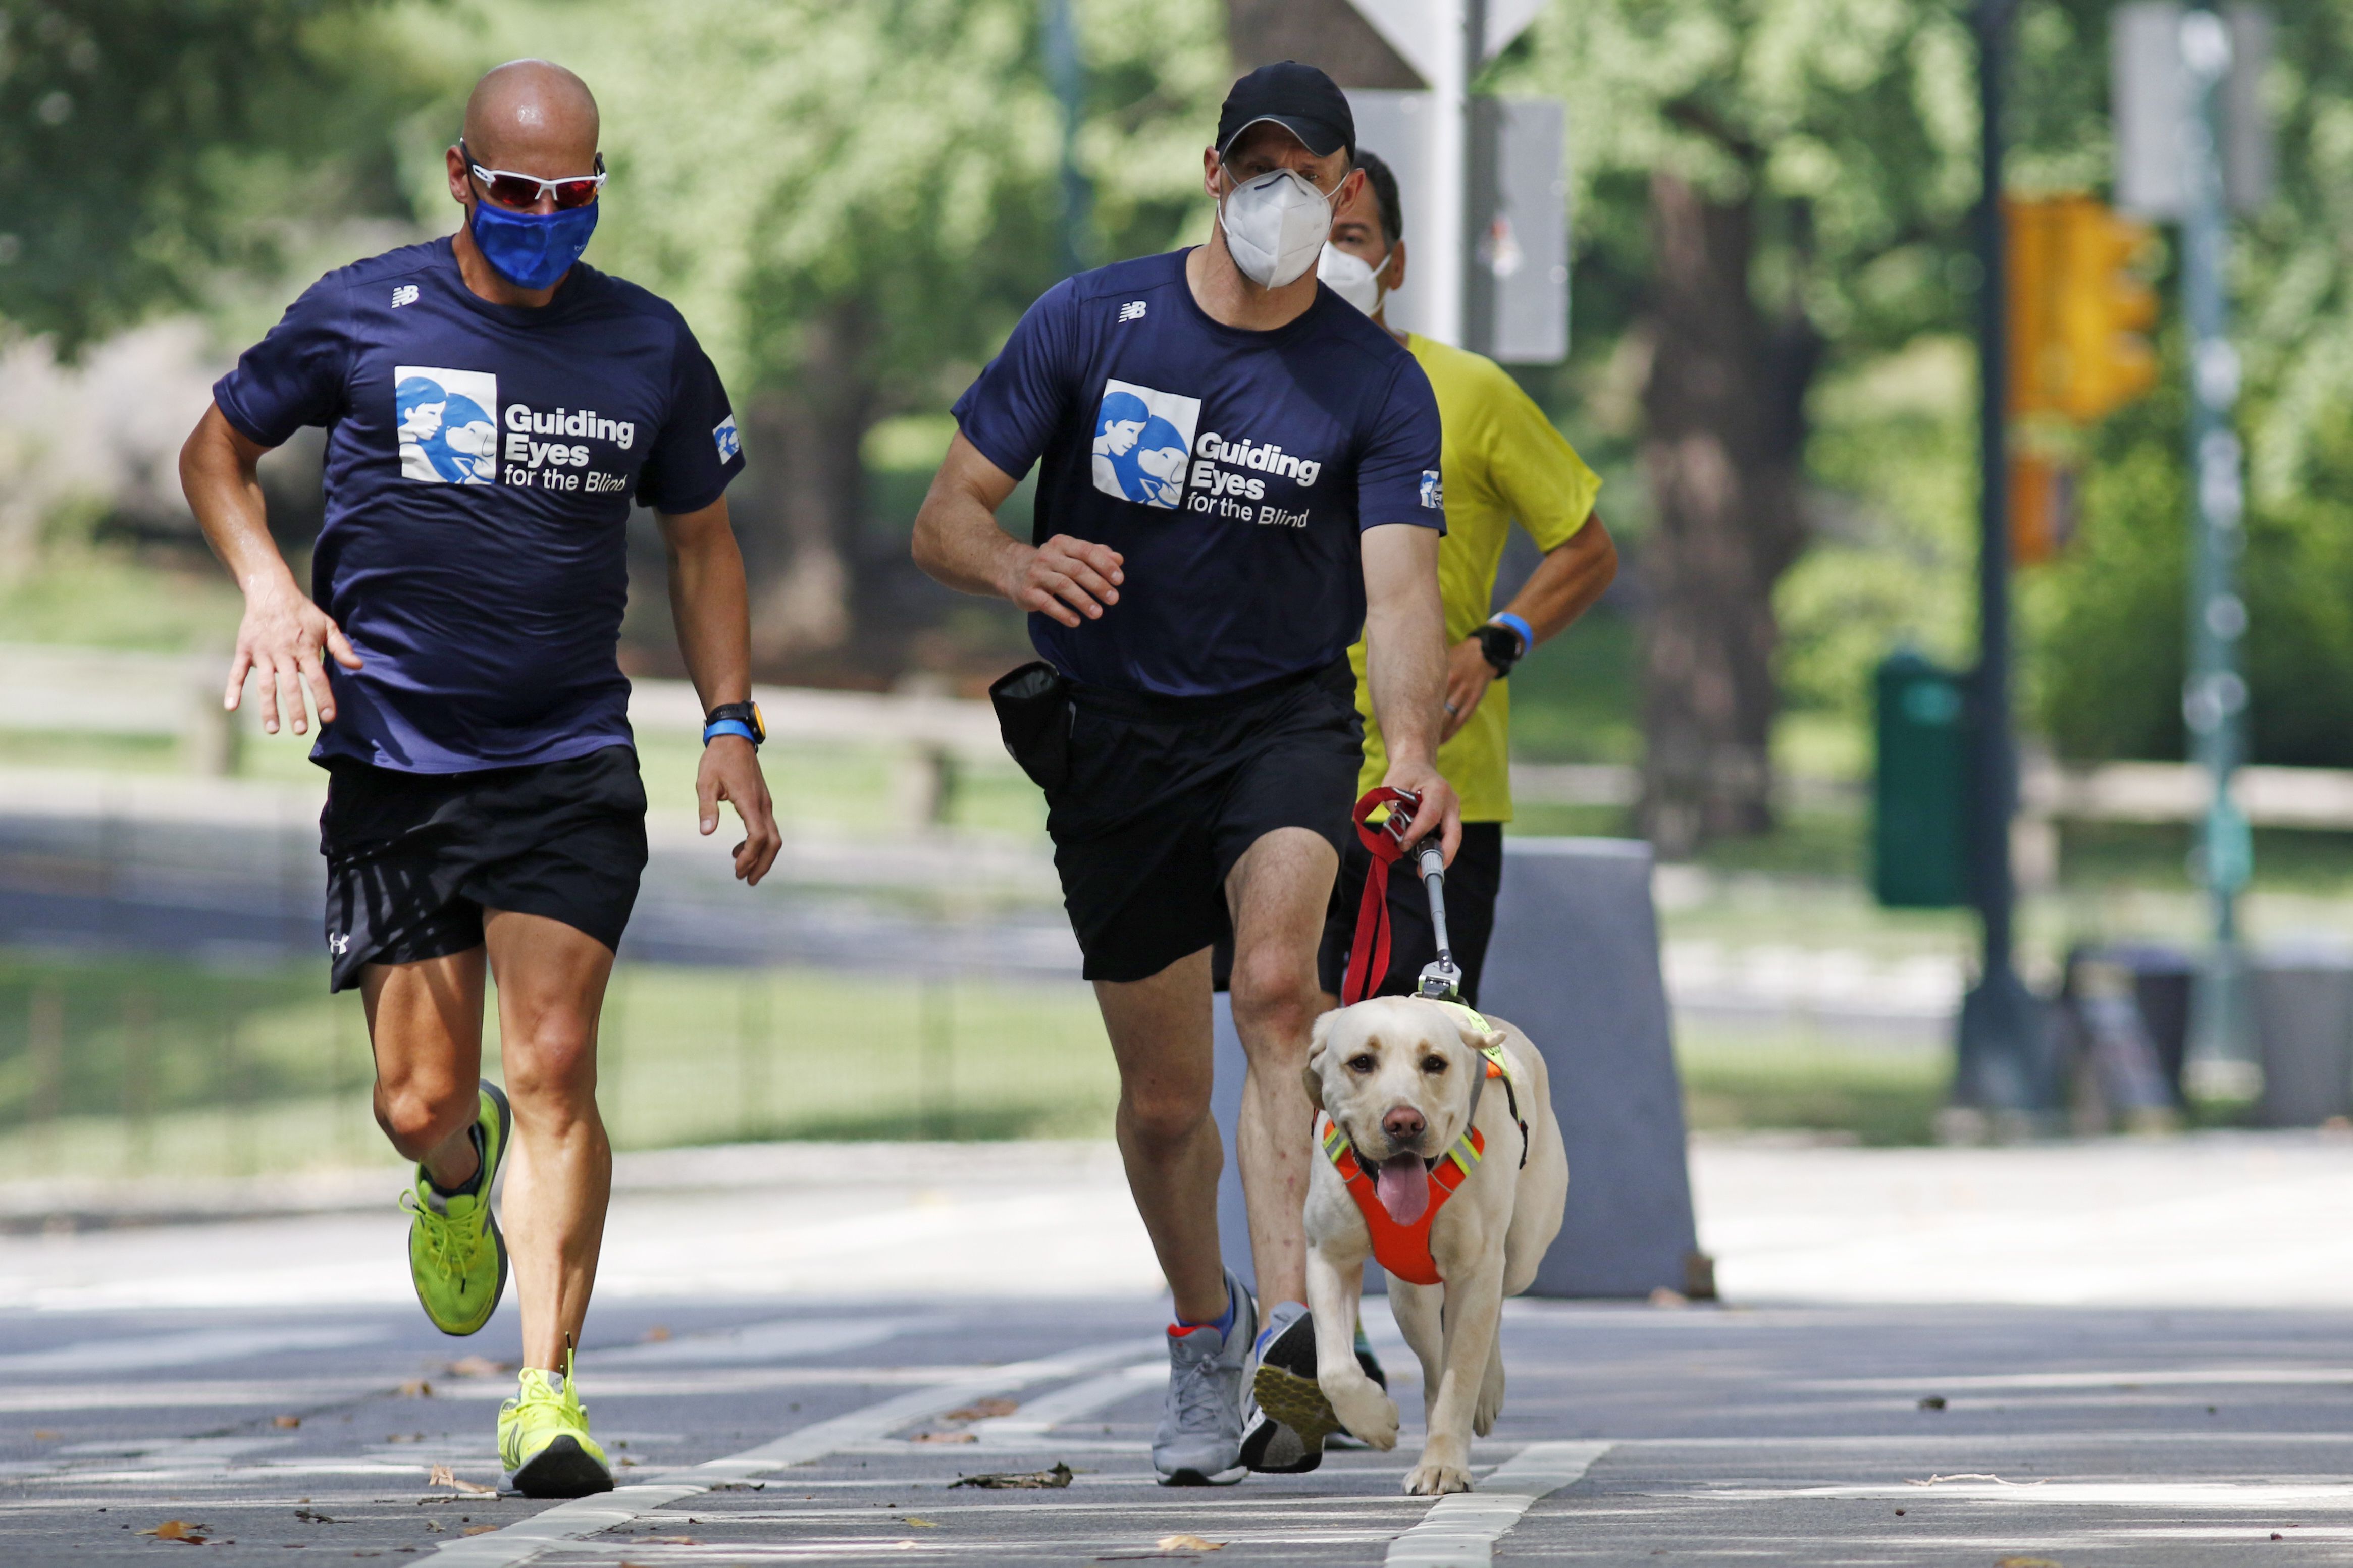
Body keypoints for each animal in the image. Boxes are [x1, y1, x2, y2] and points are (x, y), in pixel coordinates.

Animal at [1270, 1001, 1562, 1504]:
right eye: (1361, 1062)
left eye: (1434, 1063)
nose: (1404, 1122)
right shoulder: (1329, 1255)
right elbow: (1335, 1368)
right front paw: (1374, 1421)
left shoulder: (1475, 1268)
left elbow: (1459, 1379)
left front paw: (1443, 1466)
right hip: (1408, 1295)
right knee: (1431, 1364)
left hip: (1524, 1248)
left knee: (1496, 1305)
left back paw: (1487, 1390)